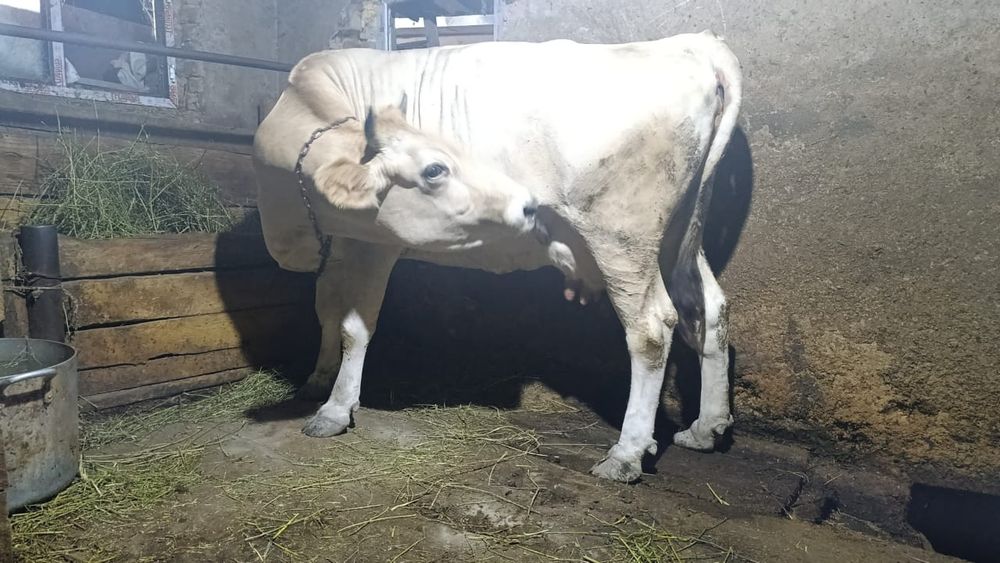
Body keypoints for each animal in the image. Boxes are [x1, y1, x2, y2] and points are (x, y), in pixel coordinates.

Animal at [252, 30, 743, 483]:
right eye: (436, 167)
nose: (525, 205)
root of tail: (690, 43)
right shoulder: (335, 247)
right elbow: (326, 309)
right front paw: (317, 377)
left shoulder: (372, 243)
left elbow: (355, 327)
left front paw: (335, 409)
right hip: (679, 232)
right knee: (708, 306)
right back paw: (706, 428)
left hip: (621, 235)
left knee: (651, 329)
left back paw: (626, 454)